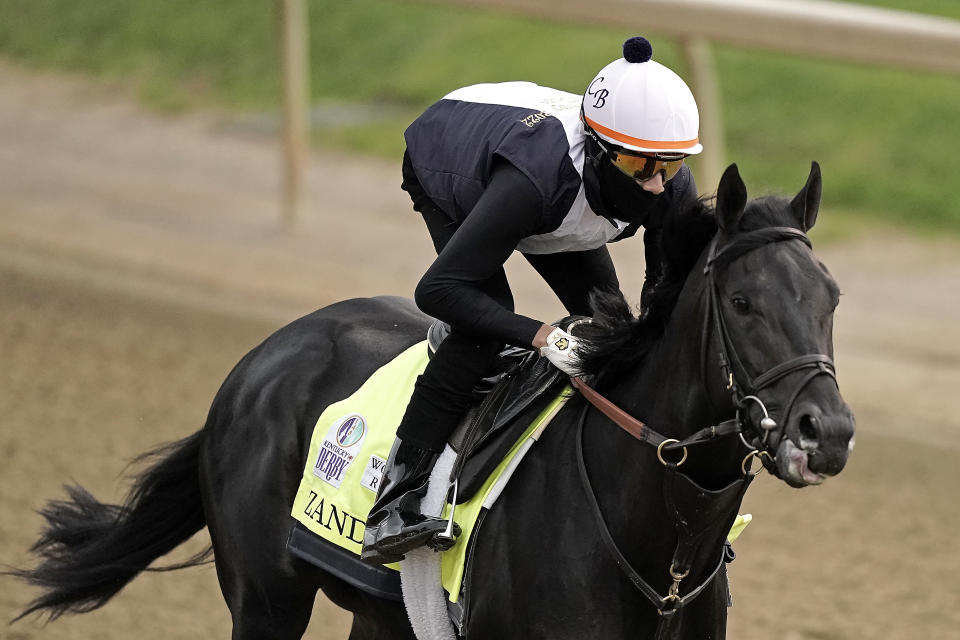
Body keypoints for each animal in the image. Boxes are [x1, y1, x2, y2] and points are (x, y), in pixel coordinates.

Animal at [11, 162, 856, 636]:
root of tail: (259, 359)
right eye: (742, 302)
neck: (661, 545)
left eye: (832, 297)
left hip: (379, 616)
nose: (830, 431)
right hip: (265, 599)